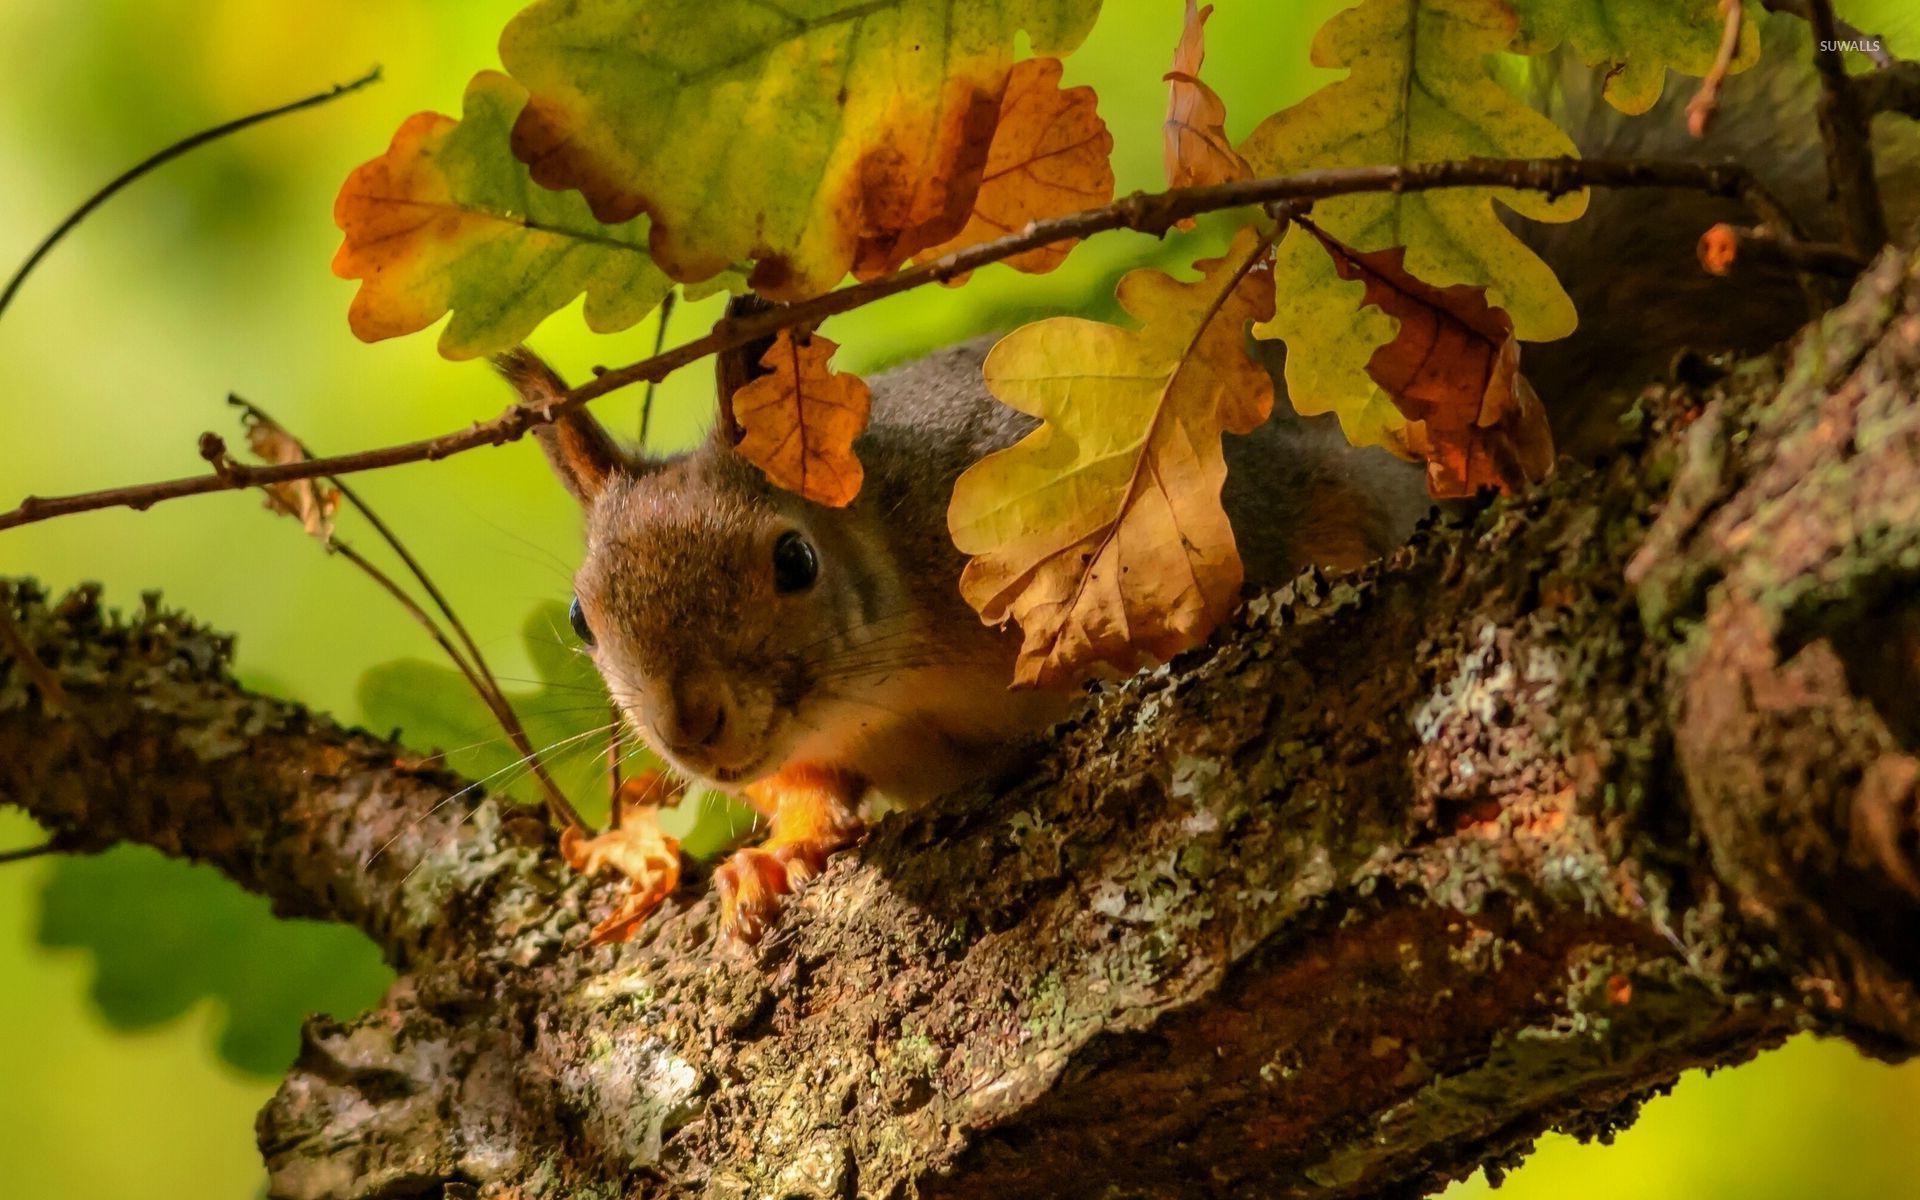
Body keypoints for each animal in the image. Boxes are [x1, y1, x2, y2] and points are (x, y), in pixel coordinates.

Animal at [503, 11, 1912, 944]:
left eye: (790, 559)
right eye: (581, 616)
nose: (692, 728)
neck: (891, 669)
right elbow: (808, 798)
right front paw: (771, 857)